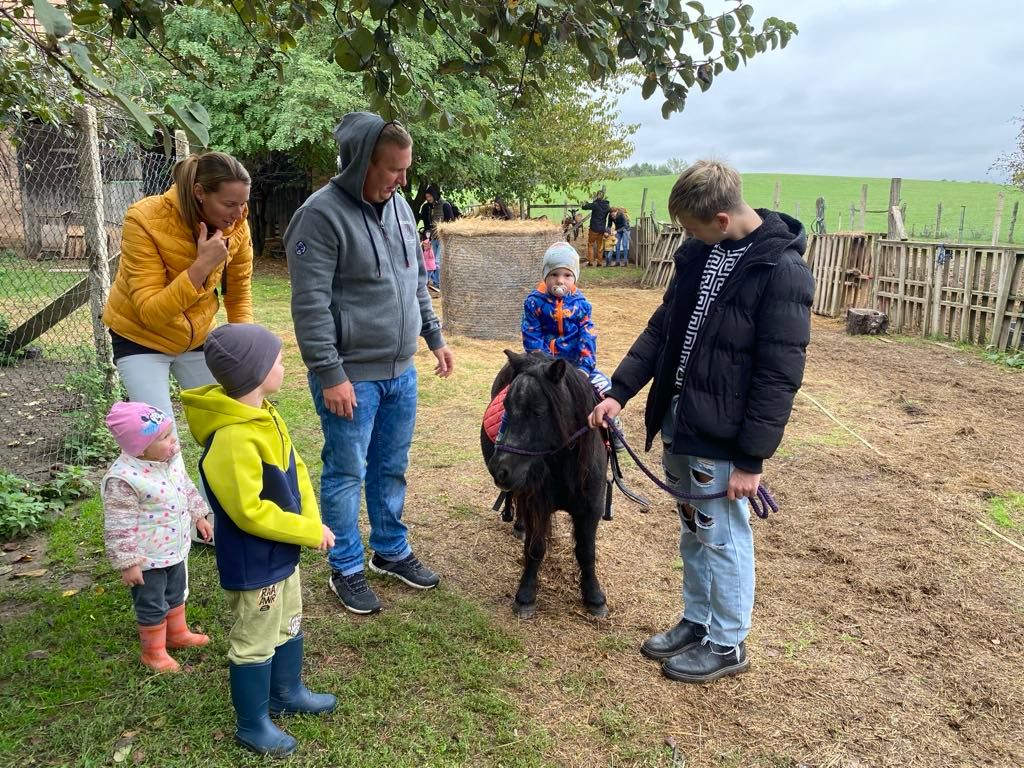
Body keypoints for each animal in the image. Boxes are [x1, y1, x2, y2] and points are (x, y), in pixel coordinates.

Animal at [481, 352, 606, 622]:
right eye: (506, 407)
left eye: (538, 412)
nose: (499, 469)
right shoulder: (536, 504)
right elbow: (536, 548)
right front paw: (526, 596)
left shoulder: (591, 509)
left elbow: (586, 551)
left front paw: (594, 597)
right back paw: (519, 526)